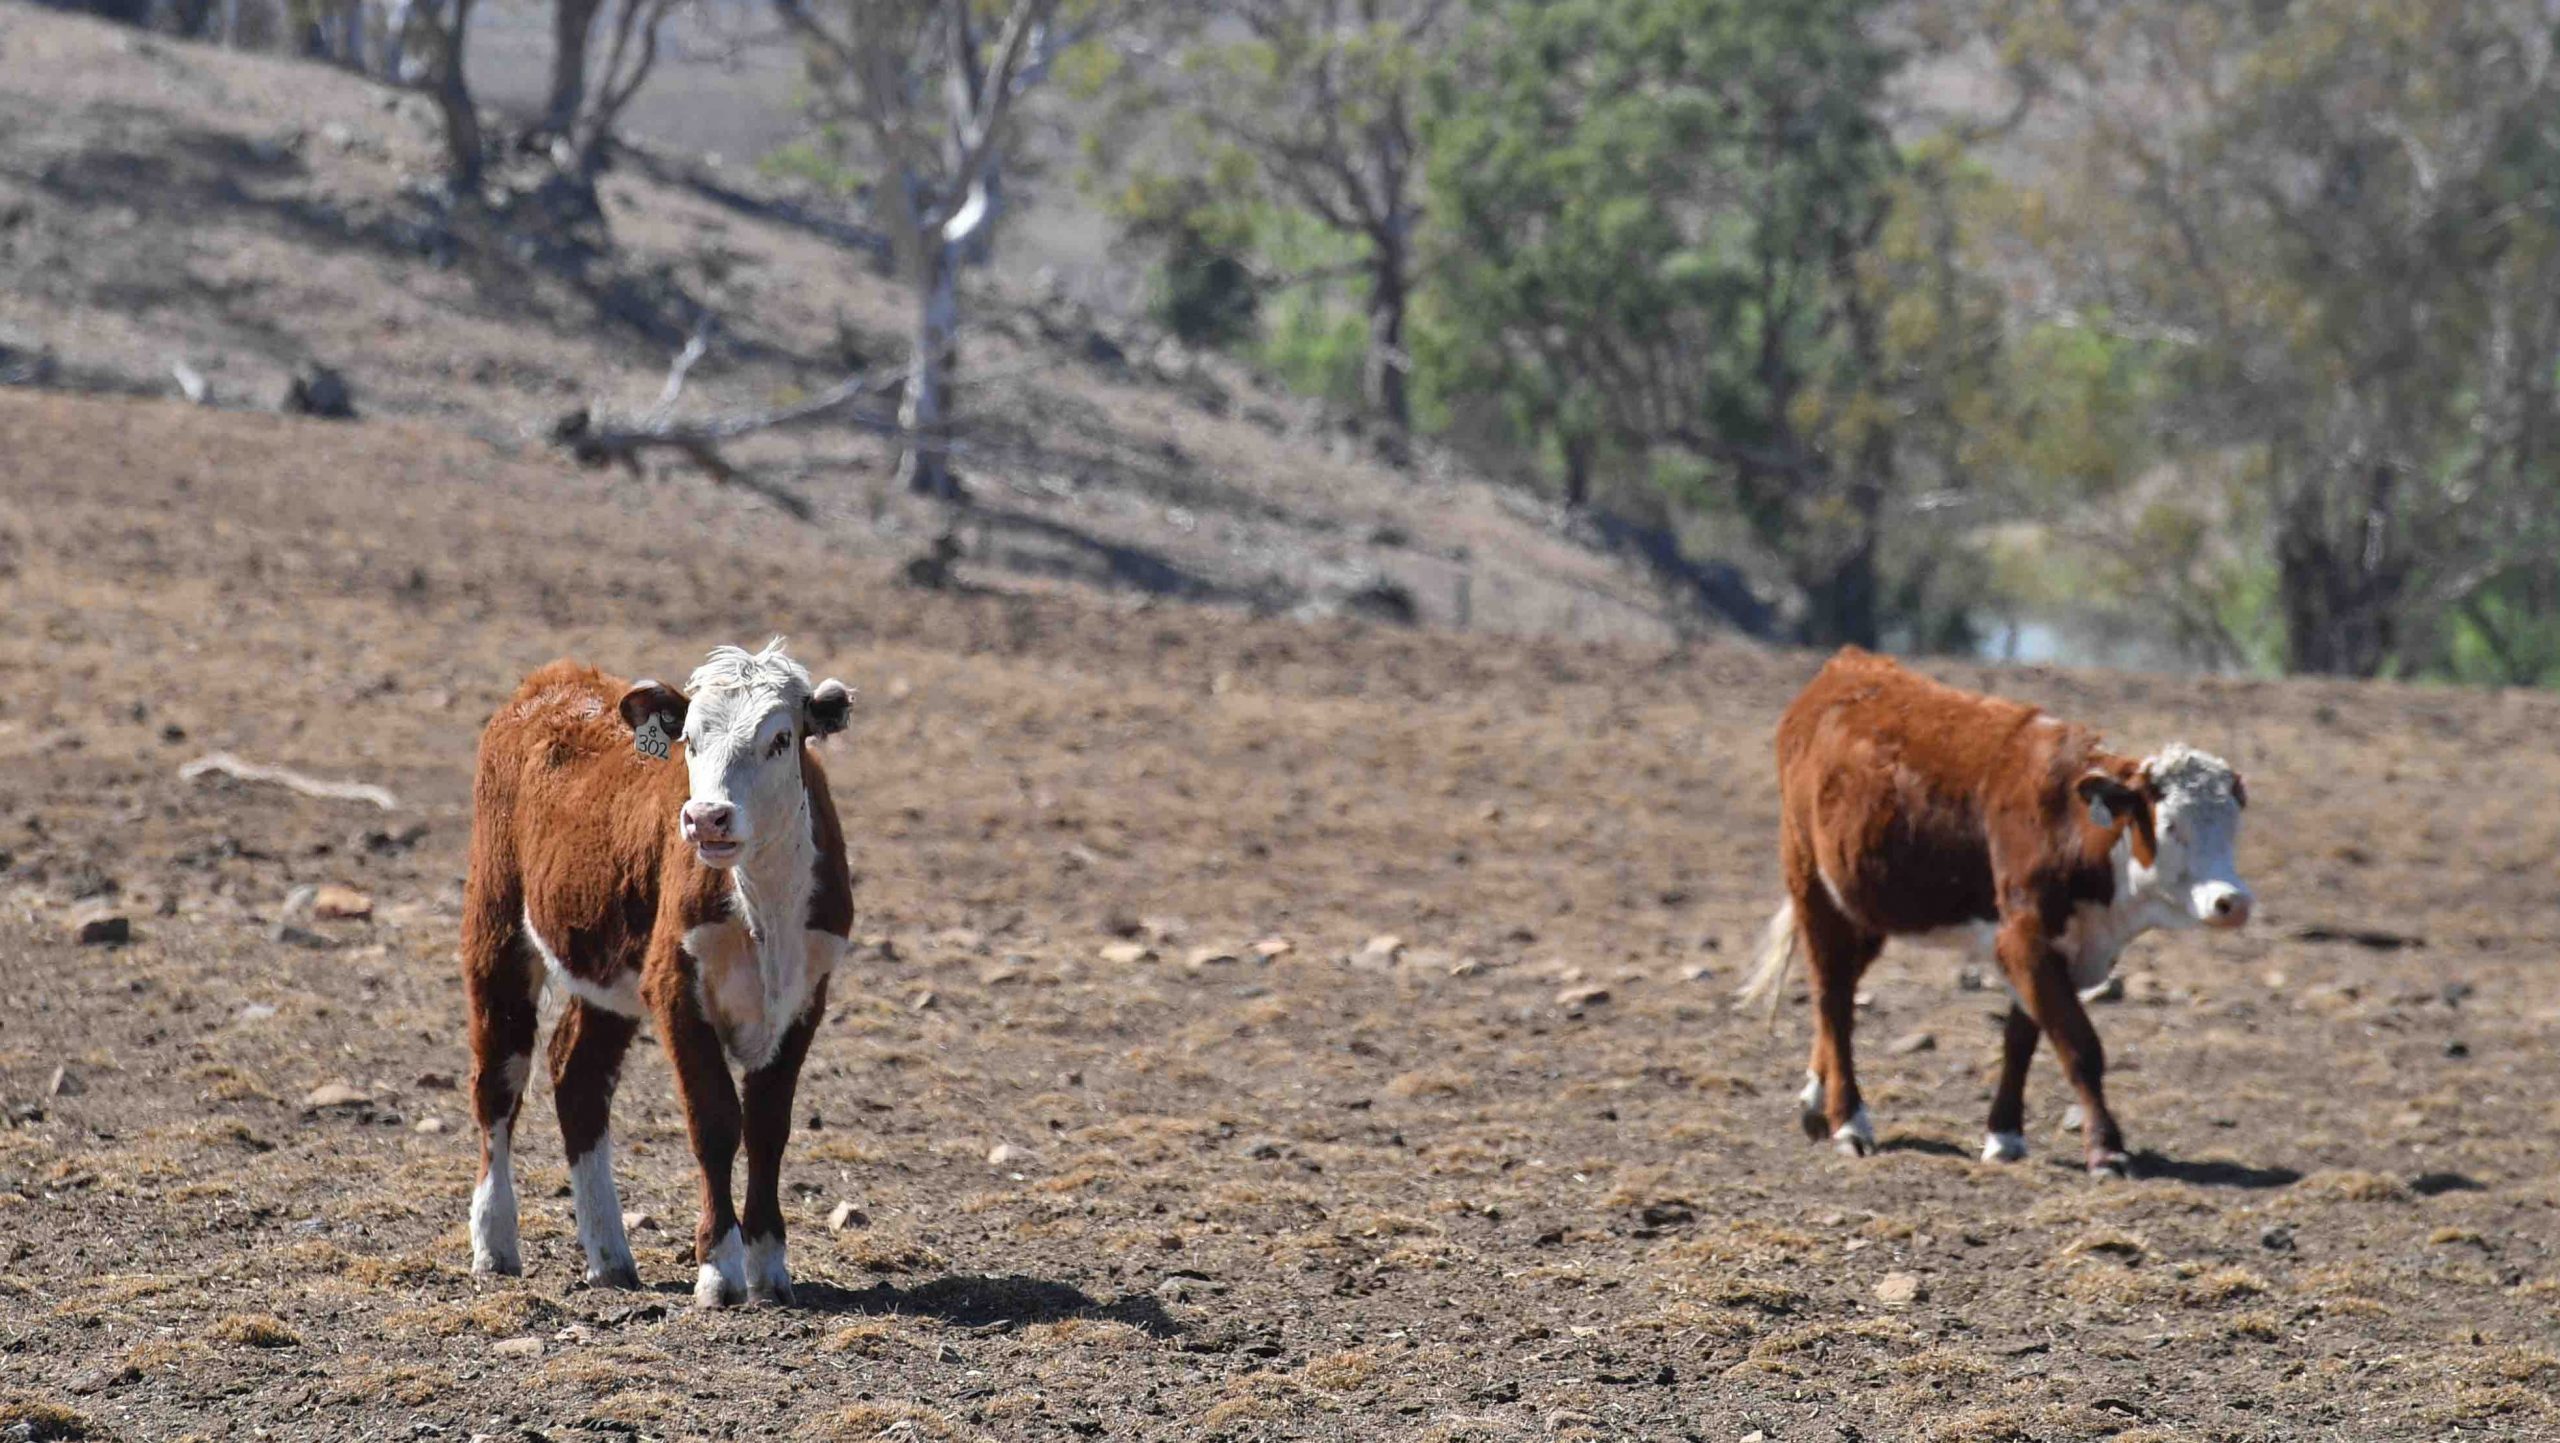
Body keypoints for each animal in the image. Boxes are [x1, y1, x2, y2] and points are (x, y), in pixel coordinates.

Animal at [458, 637, 849, 1299]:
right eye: (689, 739)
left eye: (780, 738)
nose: (707, 817)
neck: (764, 907)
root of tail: (551, 682)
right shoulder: (674, 985)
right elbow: (715, 1122)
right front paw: (719, 1270)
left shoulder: (806, 996)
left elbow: (769, 1127)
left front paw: (770, 1268)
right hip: (497, 924)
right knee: (499, 1079)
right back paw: (495, 1242)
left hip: (607, 970)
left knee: (578, 1075)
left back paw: (610, 1255)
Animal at [1730, 647, 2252, 1176]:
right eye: (2170, 826)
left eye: (2233, 825)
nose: (2231, 901)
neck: (2074, 827)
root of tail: (1846, 666)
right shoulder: (2025, 939)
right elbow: (2078, 1044)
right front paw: (2107, 1149)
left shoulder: (2057, 948)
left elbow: (2021, 1040)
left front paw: (2004, 1136)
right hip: (1812, 884)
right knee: (1833, 1000)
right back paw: (1849, 1122)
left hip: (1866, 906)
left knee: (1840, 988)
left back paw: (1816, 1102)